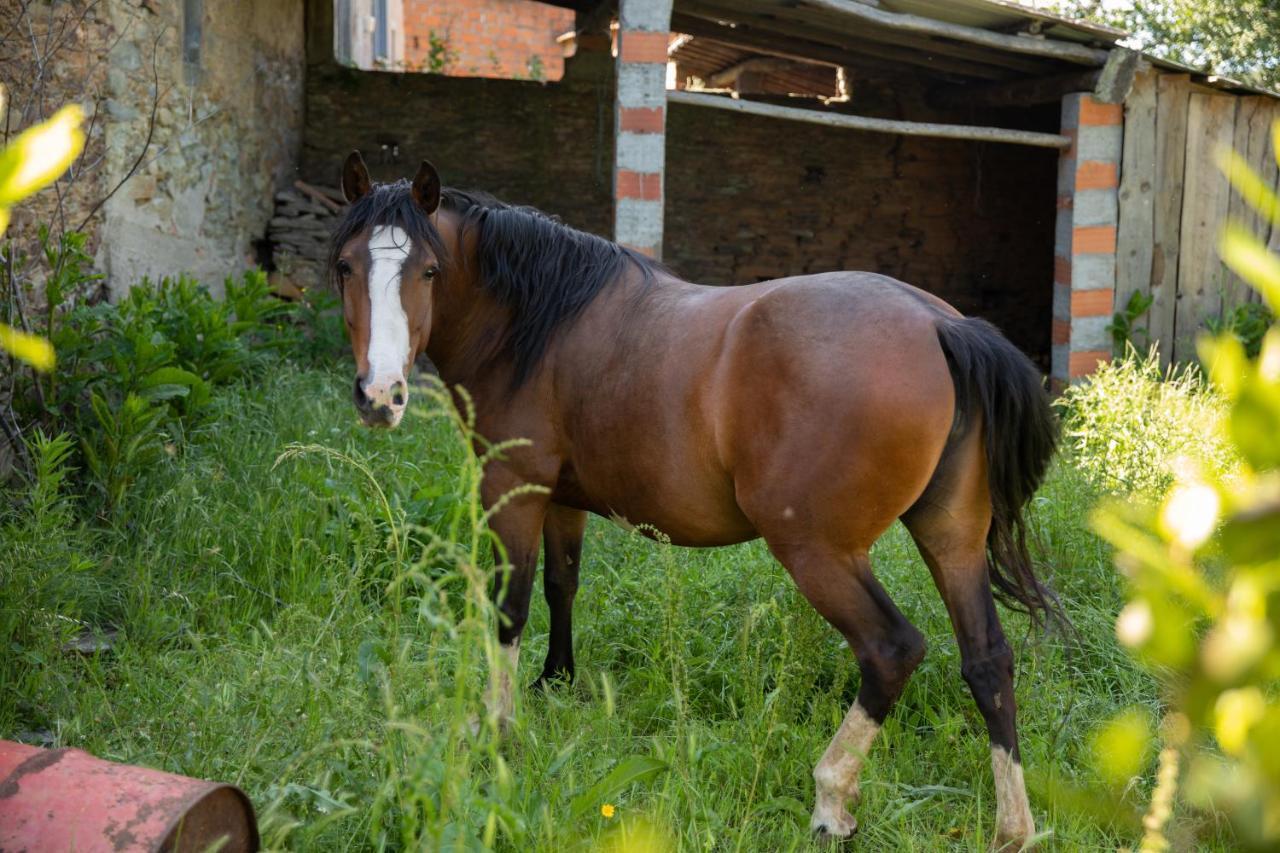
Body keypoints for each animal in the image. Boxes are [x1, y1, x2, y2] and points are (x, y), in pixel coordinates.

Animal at [330, 151, 1059, 845]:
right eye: (345, 266)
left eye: (428, 271)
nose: (380, 395)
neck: (538, 321)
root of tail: (939, 325)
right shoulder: (561, 498)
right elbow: (562, 585)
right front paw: (555, 684)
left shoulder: (512, 489)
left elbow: (509, 607)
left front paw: (497, 727)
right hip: (951, 537)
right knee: (988, 661)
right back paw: (1012, 827)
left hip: (818, 552)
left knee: (891, 650)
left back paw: (831, 799)